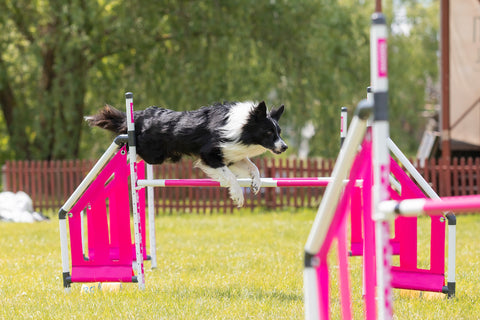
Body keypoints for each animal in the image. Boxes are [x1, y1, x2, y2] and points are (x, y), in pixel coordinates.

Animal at [86, 100, 286, 208]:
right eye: (269, 132)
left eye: (279, 131)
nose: (284, 147)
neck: (241, 126)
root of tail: (139, 115)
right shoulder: (209, 155)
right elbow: (230, 176)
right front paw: (238, 196)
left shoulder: (229, 153)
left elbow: (253, 167)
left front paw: (256, 184)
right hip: (154, 154)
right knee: (129, 148)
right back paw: (127, 152)